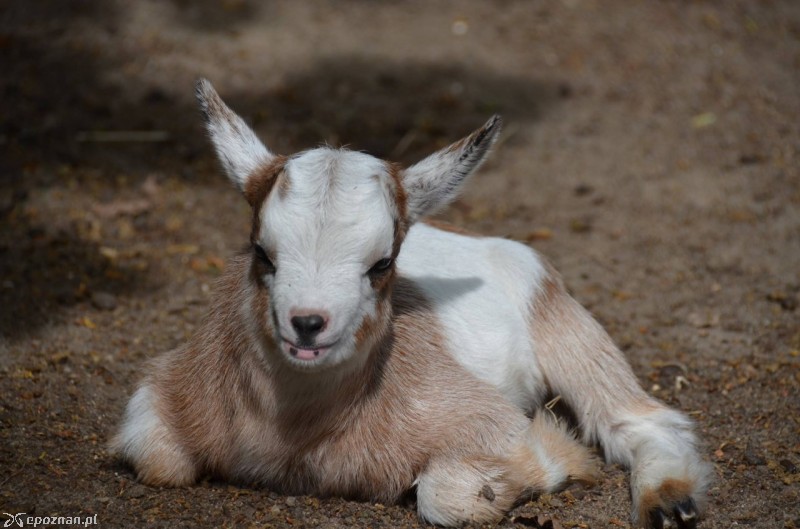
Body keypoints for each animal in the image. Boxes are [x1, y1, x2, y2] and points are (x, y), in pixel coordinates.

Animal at [112, 79, 712, 528]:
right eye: (261, 251)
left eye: (382, 263)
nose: (307, 325)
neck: (296, 432)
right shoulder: (162, 398)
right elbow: (155, 456)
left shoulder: (487, 423)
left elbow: (451, 496)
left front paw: (558, 457)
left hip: (565, 327)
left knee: (639, 420)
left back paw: (669, 503)